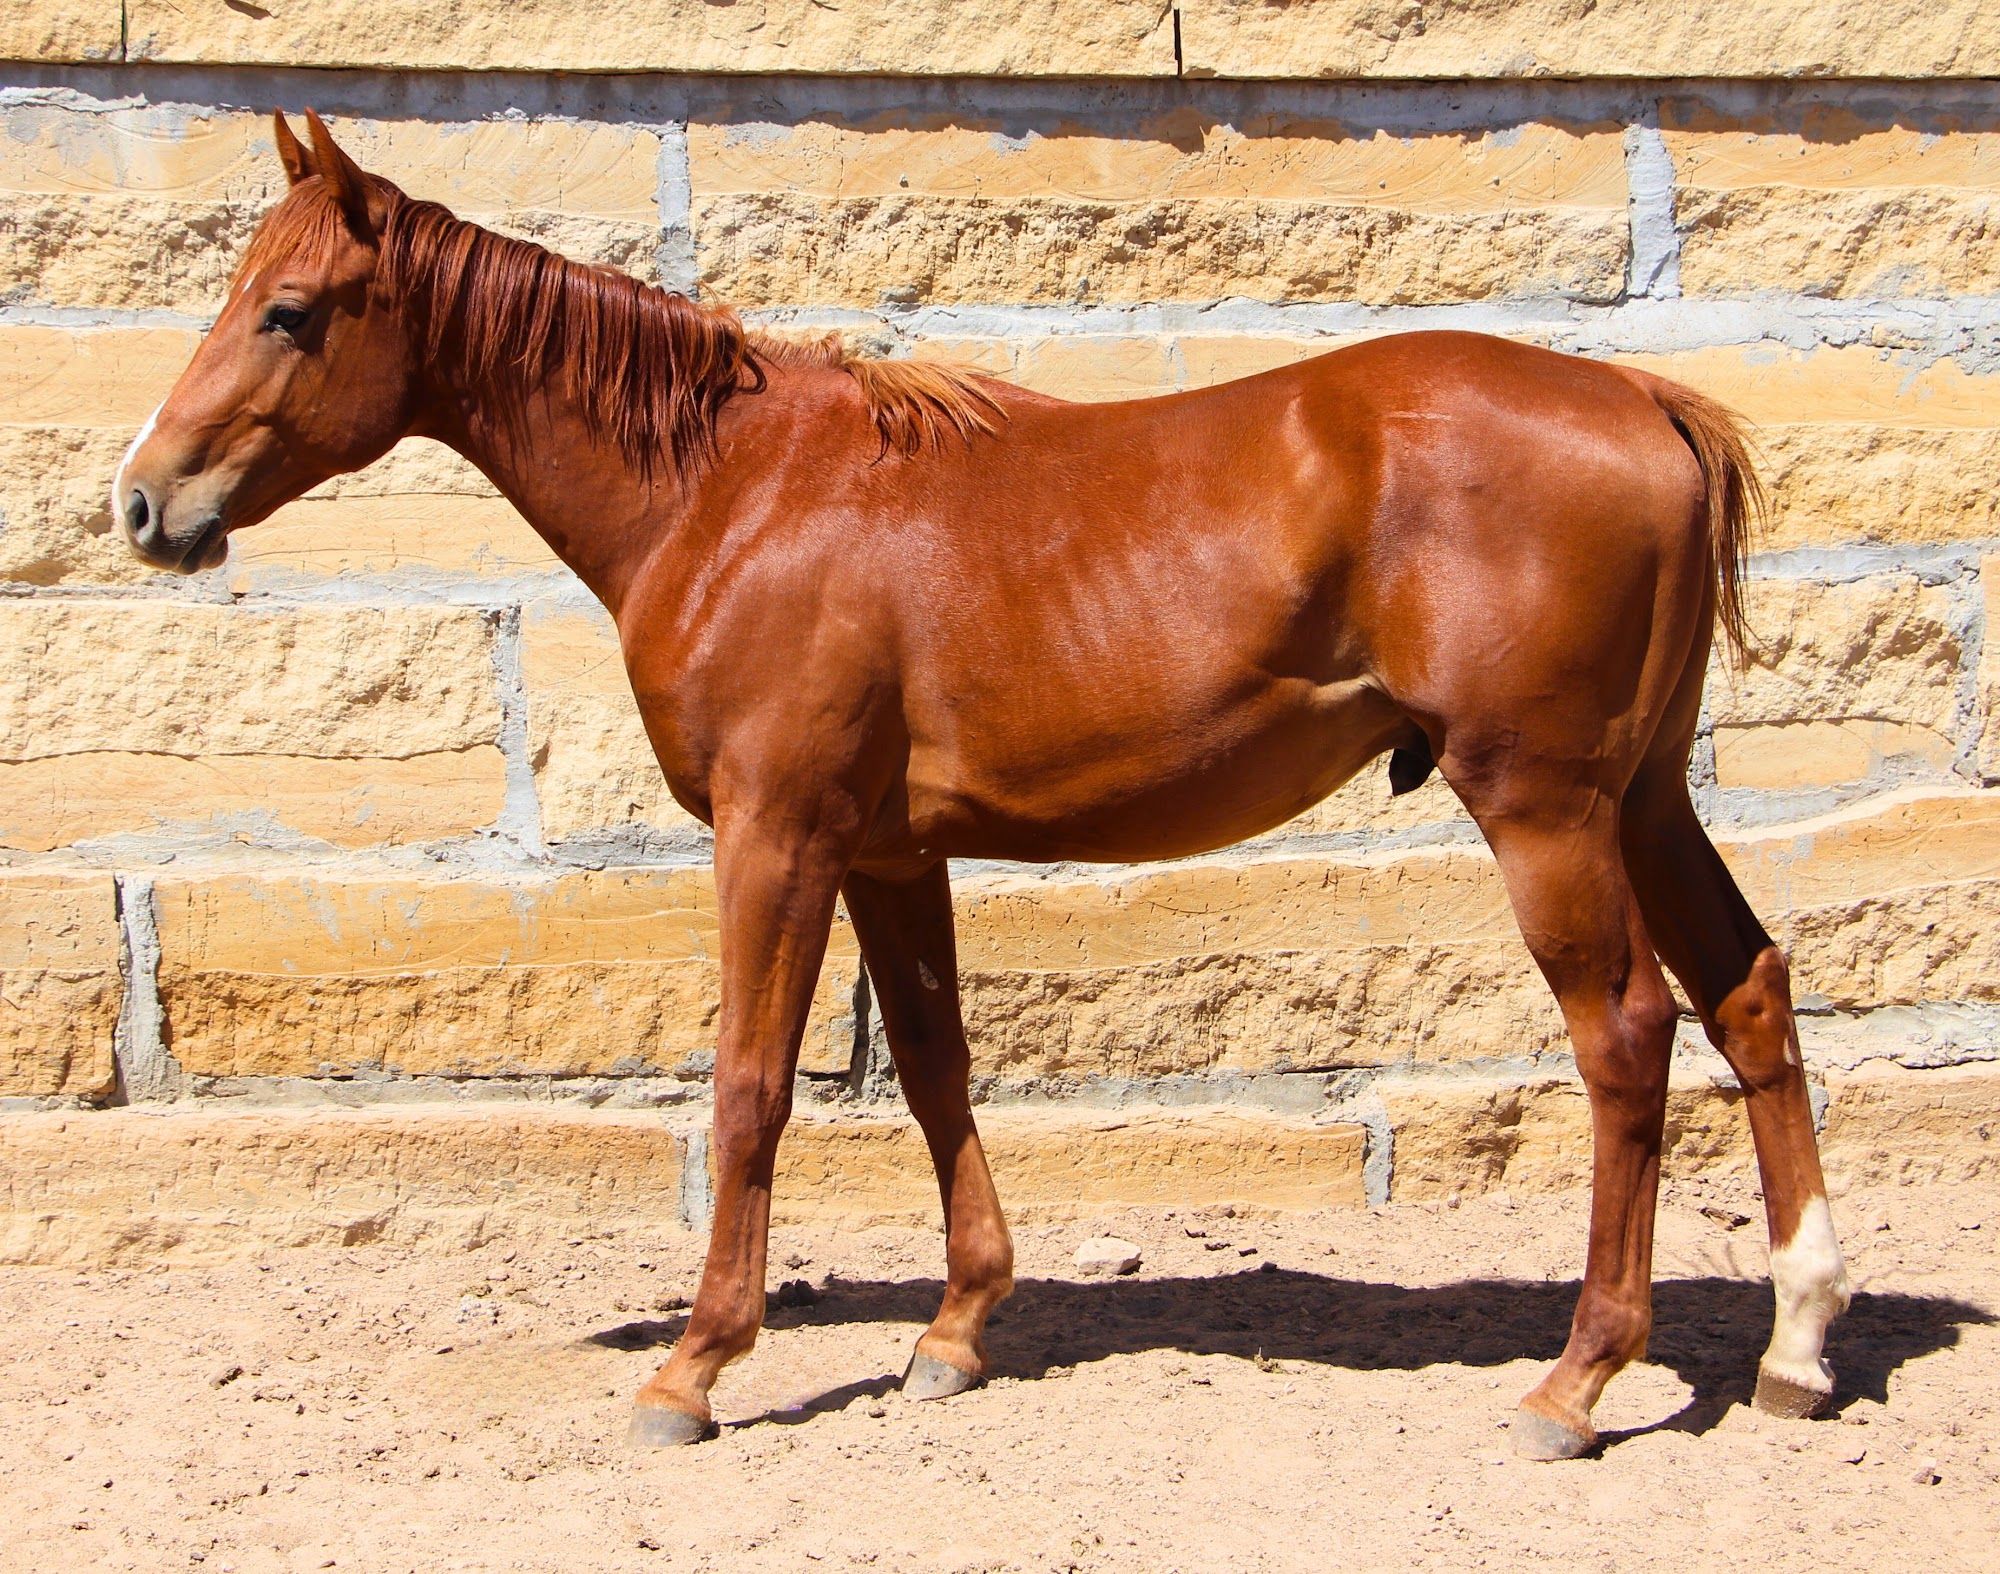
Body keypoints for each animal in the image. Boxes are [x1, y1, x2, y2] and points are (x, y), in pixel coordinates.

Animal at [112, 111, 1849, 1460]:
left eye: (290, 310)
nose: (142, 502)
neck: (732, 492)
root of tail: (1645, 401)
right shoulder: (889, 853)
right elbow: (939, 1067)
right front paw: (952, 1331)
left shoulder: (779, 838)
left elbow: (751, 1084)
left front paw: (696, 1364)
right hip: (1643, 798)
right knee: (1748, 994)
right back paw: (1798, 1343)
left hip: (1545, 807)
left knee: (1627, 1039)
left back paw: (1578, 1380)